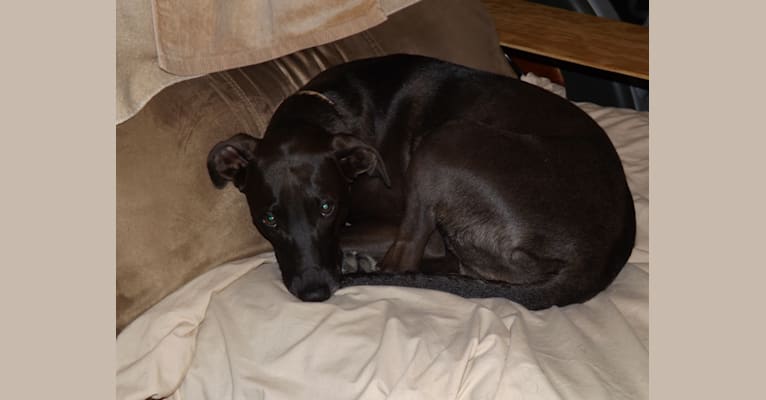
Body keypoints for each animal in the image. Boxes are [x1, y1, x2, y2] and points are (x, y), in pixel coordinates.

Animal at [208, 54, 636, 310]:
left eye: (327, 207)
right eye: (269, 219)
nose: (315, 292)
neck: (326, 110)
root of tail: (602, 258)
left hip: (445, 140)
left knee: (407, 261)